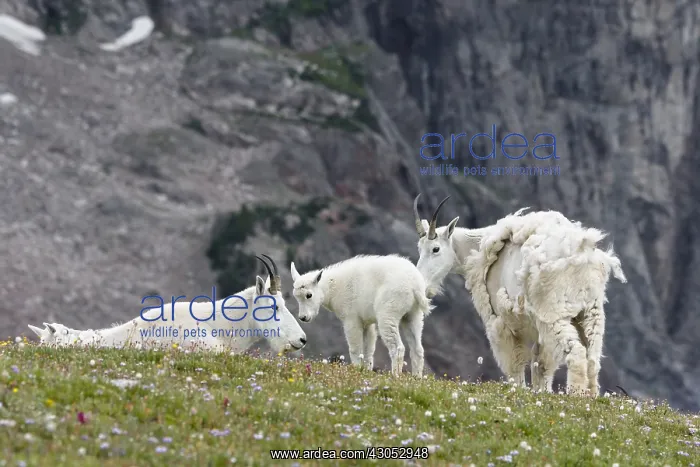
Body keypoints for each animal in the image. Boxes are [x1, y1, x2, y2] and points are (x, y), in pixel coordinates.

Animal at [290, 255, 434, 377]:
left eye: (309, 295)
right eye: (296, 297)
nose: (303, 317)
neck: (333, 288)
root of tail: (415, 286)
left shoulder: (351, 319)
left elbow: (355, 349)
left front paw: (355, 370)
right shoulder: (367, 322)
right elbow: (368, 349)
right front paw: (366, 370)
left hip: (388, 313)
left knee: (397, 347)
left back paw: (395, 376)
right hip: (413, 315)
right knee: (417, 349)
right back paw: (416, 378)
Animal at [413, 194, 626, 396]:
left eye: (435, 249)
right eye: (419, 249)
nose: (422, 285)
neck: (476, 247)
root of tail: (581, 256)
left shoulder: (501, 321)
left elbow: (514, 363)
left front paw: (519, 389)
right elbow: (541, 364)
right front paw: (542, 392)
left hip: (553, 313)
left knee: (577, 352)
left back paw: (577, 394)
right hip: (591, 312)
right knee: (592, 357)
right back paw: (591, 394)